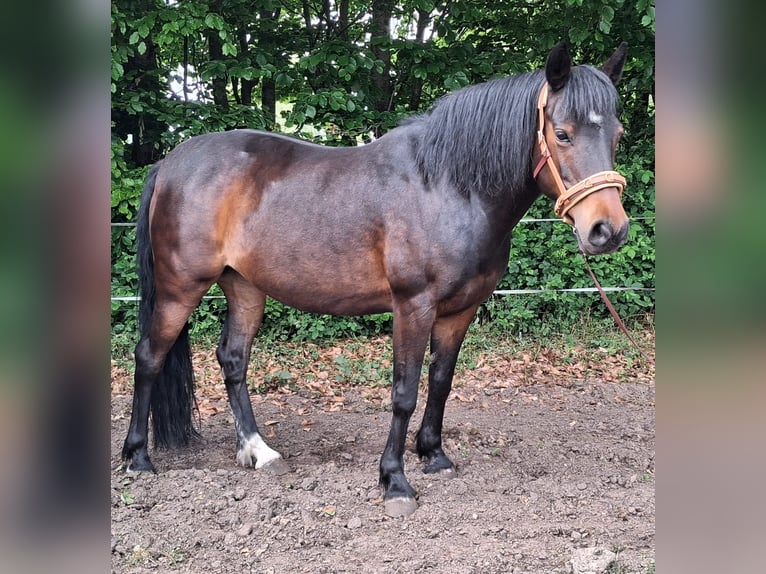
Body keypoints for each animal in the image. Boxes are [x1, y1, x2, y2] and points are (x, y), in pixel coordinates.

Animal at [121, 41, 629, 517]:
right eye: (561, 133)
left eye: (617, 134)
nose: (608, 230)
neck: (447, 187)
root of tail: (169, 163)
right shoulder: (413, 306)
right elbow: (404, 392)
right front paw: (395, 481)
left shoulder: (459, 311)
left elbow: (441, 380)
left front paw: (434, 455)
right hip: (180, 288)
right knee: (149, 356)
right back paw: (138, 458)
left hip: (244, 286)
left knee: (232, 359)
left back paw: (258, 451)